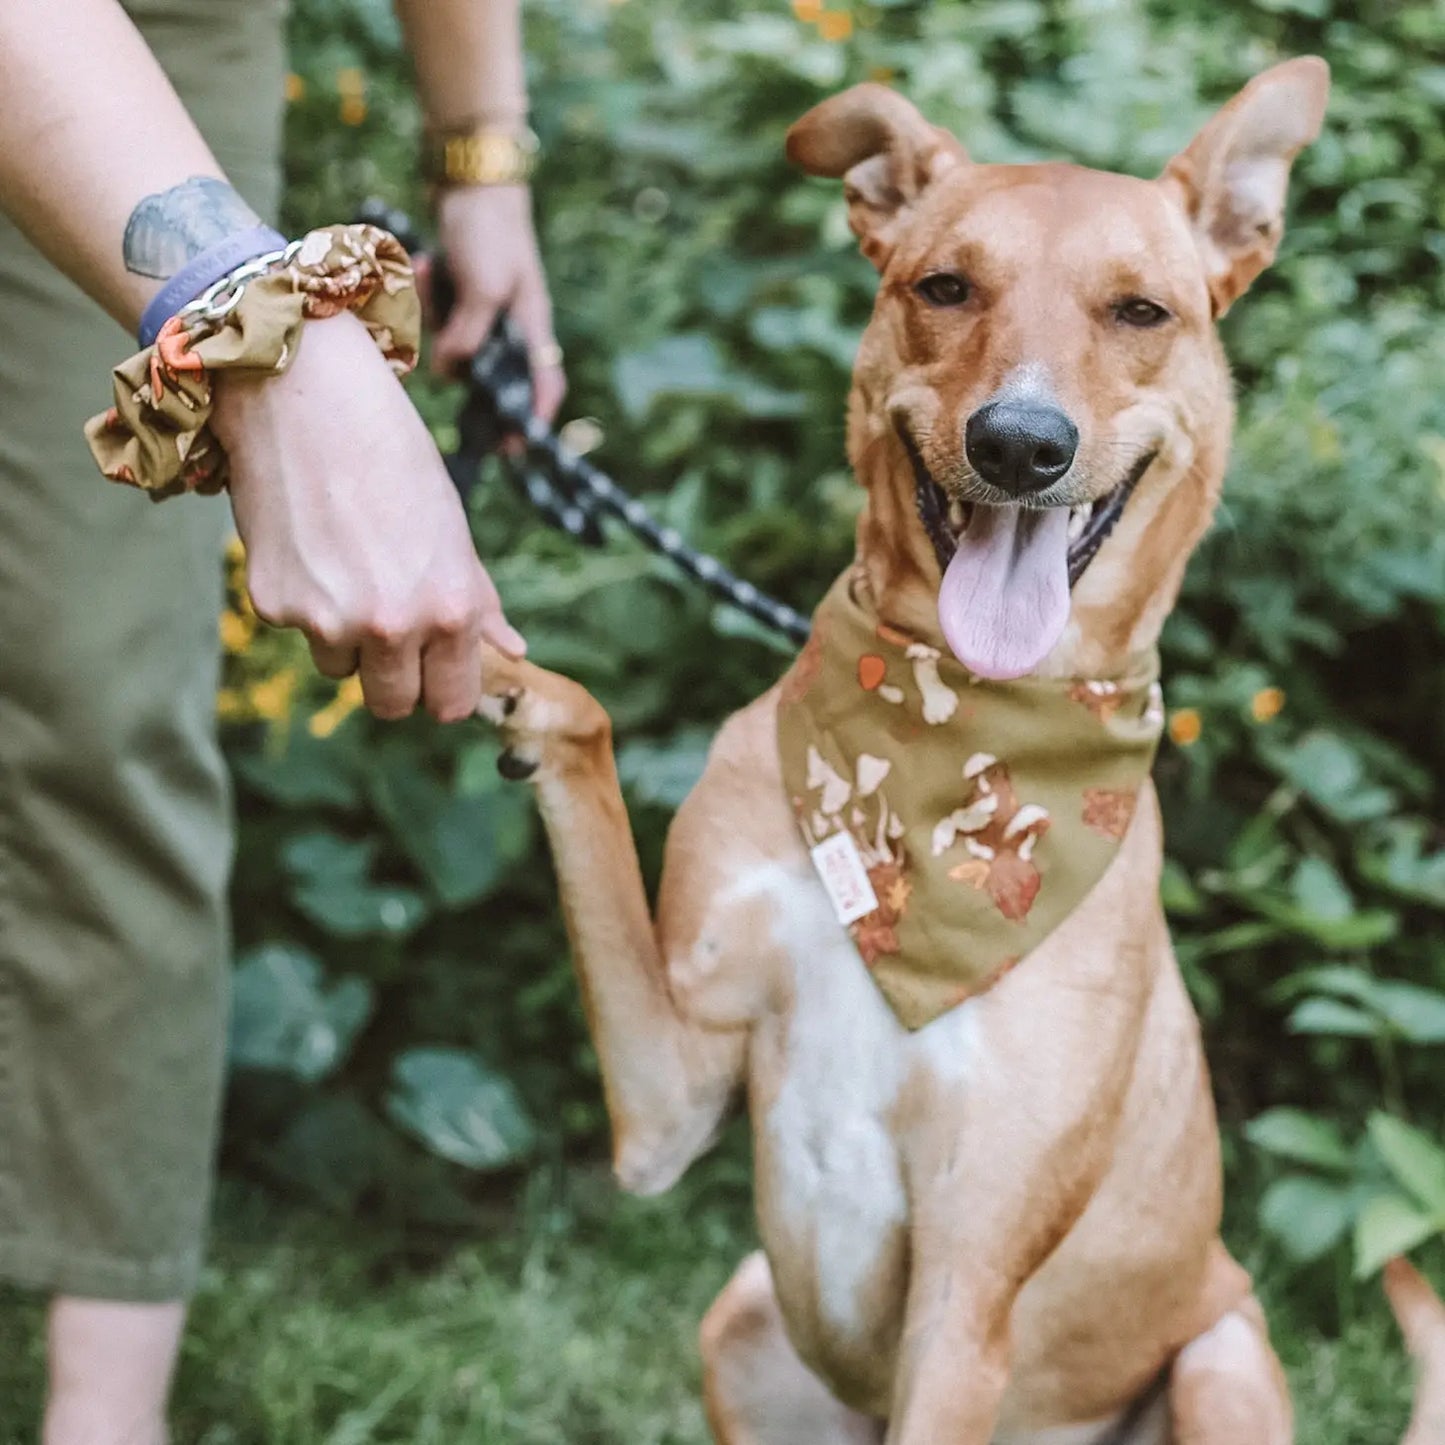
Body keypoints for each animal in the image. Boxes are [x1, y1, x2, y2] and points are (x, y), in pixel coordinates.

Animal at [482, 59, 1433, 1445]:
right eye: (943, 287)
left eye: (1138, 310)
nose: (1019, 444)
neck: (943, 742)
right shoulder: (663, 1102)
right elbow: (588, 761)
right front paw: (501, 668)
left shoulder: (967, 1295)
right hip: (740, 1318)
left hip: (1217, 1358)